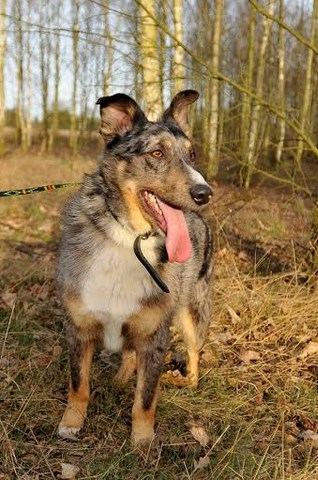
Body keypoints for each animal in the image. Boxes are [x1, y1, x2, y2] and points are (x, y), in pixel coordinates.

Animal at [57, 91, 214, 446]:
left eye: (192, 154)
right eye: (157, 152)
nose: (205, 193)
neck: (128, 238)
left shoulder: (155, 336)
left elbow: (144, 399)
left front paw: (142, 441)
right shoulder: (78, 327)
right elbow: (78, 384)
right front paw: (71, 423)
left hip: (190, 311)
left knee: (194, 354)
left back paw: (184, 380)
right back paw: (120, 378)